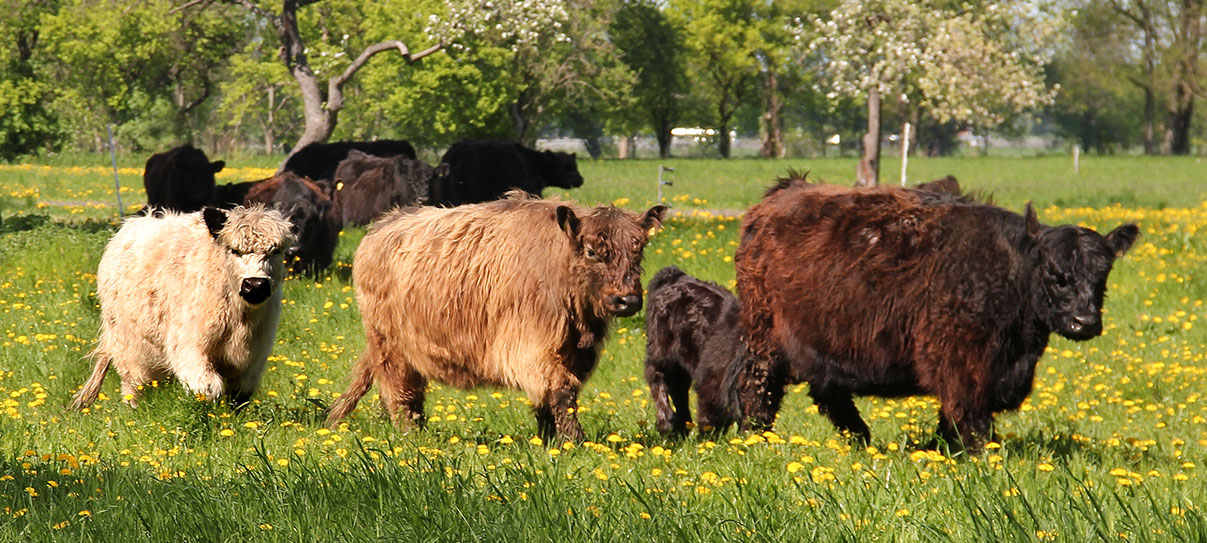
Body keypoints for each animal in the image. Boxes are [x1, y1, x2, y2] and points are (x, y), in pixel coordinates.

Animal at [70, 206, 292, 410]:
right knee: (133, 386)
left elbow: (238, 397)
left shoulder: (253, 361)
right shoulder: (189, 347)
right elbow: (208, 388)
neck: (240, 321)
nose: (255, 285)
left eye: (276, 251)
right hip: (127, 347)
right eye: (234, 250)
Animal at [328, 193, 671, 439]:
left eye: (638, 250)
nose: (627, 300)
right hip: (391, 344)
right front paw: (574, 440)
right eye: (591, 252)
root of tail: (383, 224)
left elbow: (551, 396)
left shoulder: (574, 352)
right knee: (399, 390)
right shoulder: (532, 346)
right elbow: (560, 389)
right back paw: (412, 434)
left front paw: (549, 439)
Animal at [733, 173, 1139, 448]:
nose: (1085, 322)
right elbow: (970, 417)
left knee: (828, 393)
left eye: (1103, 275)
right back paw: (757, 440)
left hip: (823, 341)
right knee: (758, 389)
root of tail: (783, 193)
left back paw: (860, 439)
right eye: (1056, 275)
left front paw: (939, 449)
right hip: (765, 339)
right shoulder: (963, 361)